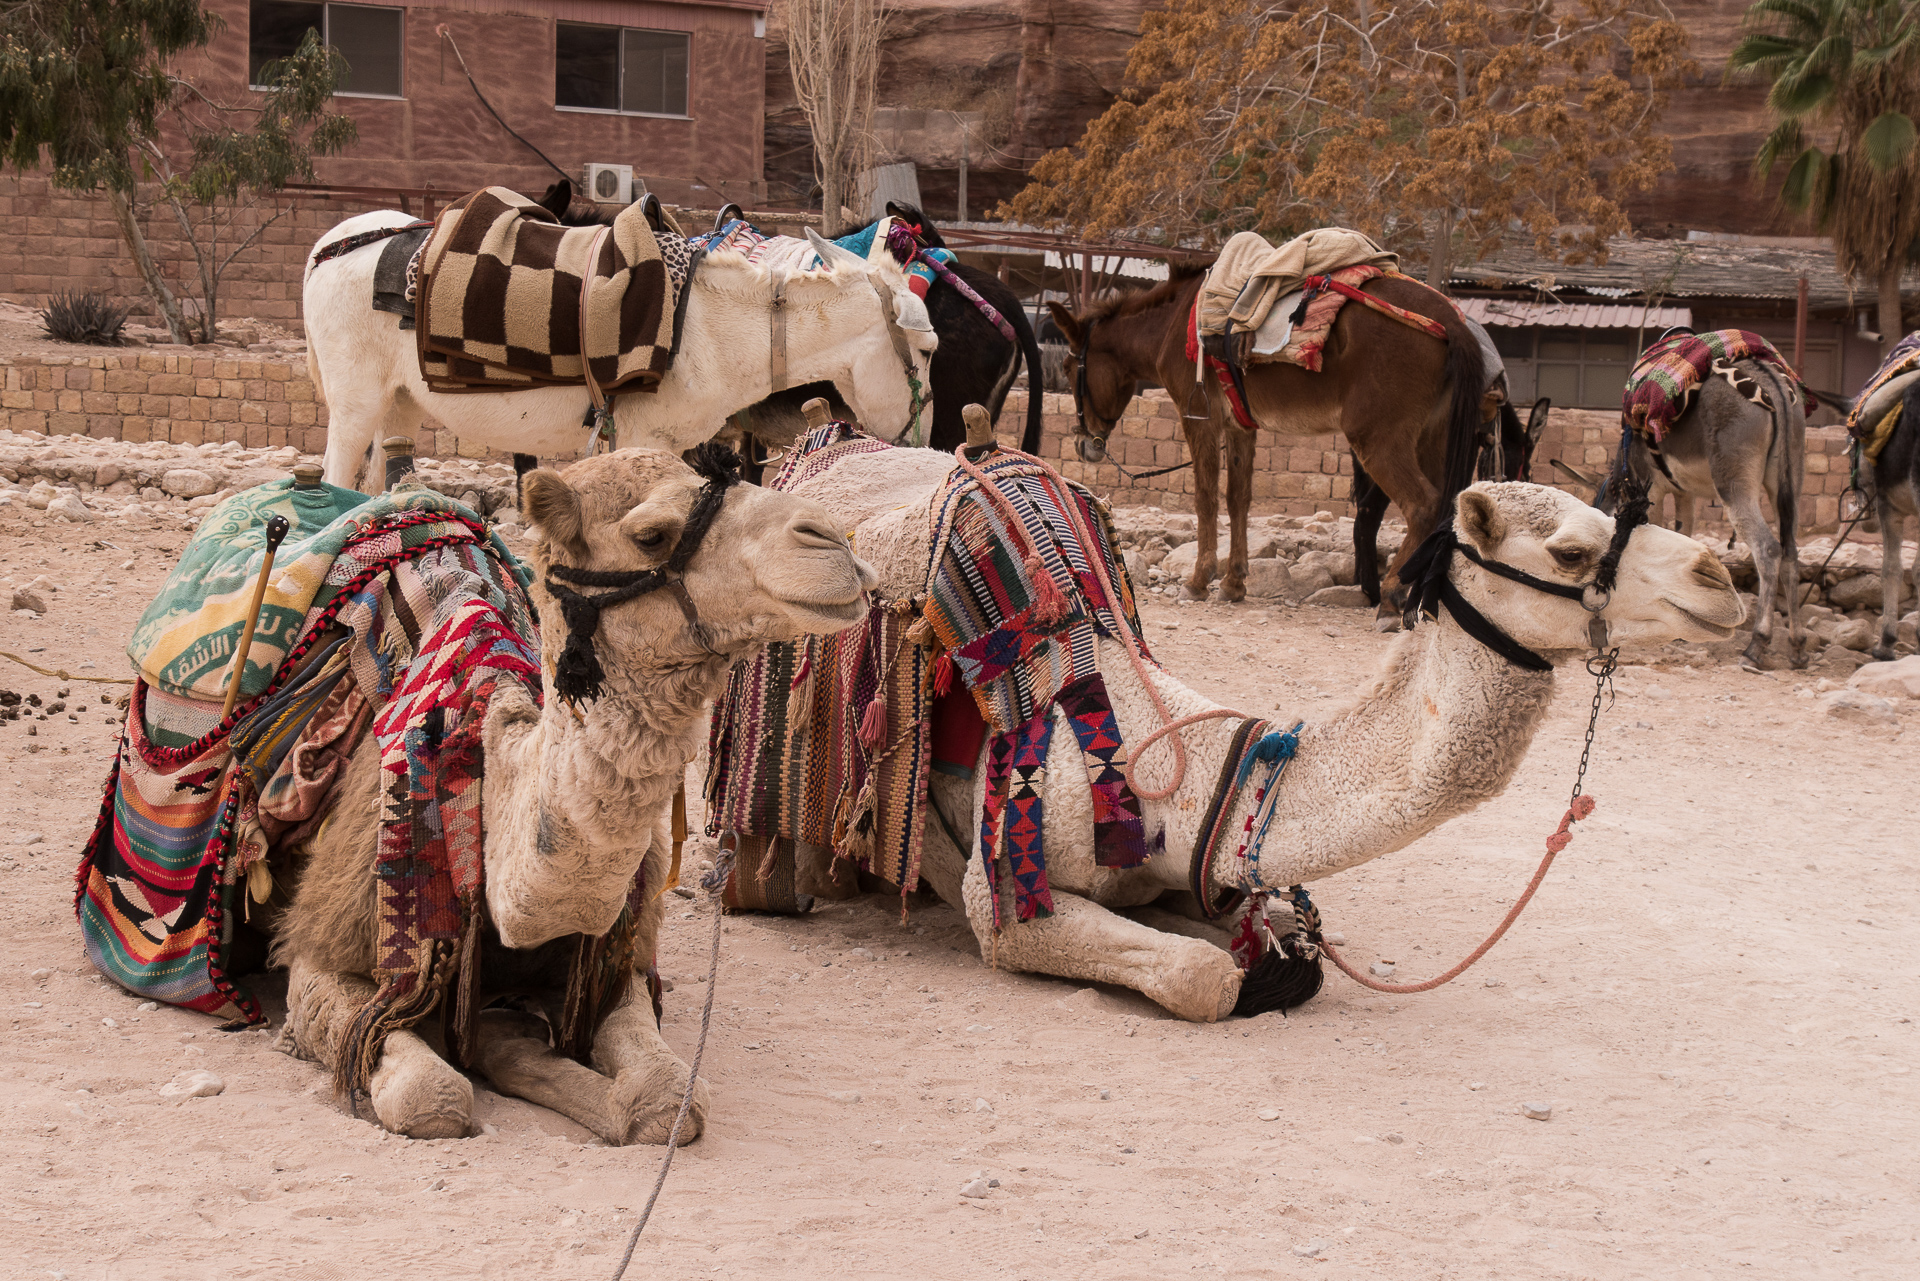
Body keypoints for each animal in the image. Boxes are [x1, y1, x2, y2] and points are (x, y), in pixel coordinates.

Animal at [303, 213, 940, 487]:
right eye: (930, 350)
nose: (924, 439)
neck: (715, 330)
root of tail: (331, 244)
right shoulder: (642, 437)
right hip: (356, 404)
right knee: (336, 477)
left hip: (400, 404)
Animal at [706, 418, 1743, 1021]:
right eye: (1569, 549)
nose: (1721, 576)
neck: (1195, 776)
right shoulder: (1008, 895)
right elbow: (1203, 977)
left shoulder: (1207, 878)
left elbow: (1285, 943)